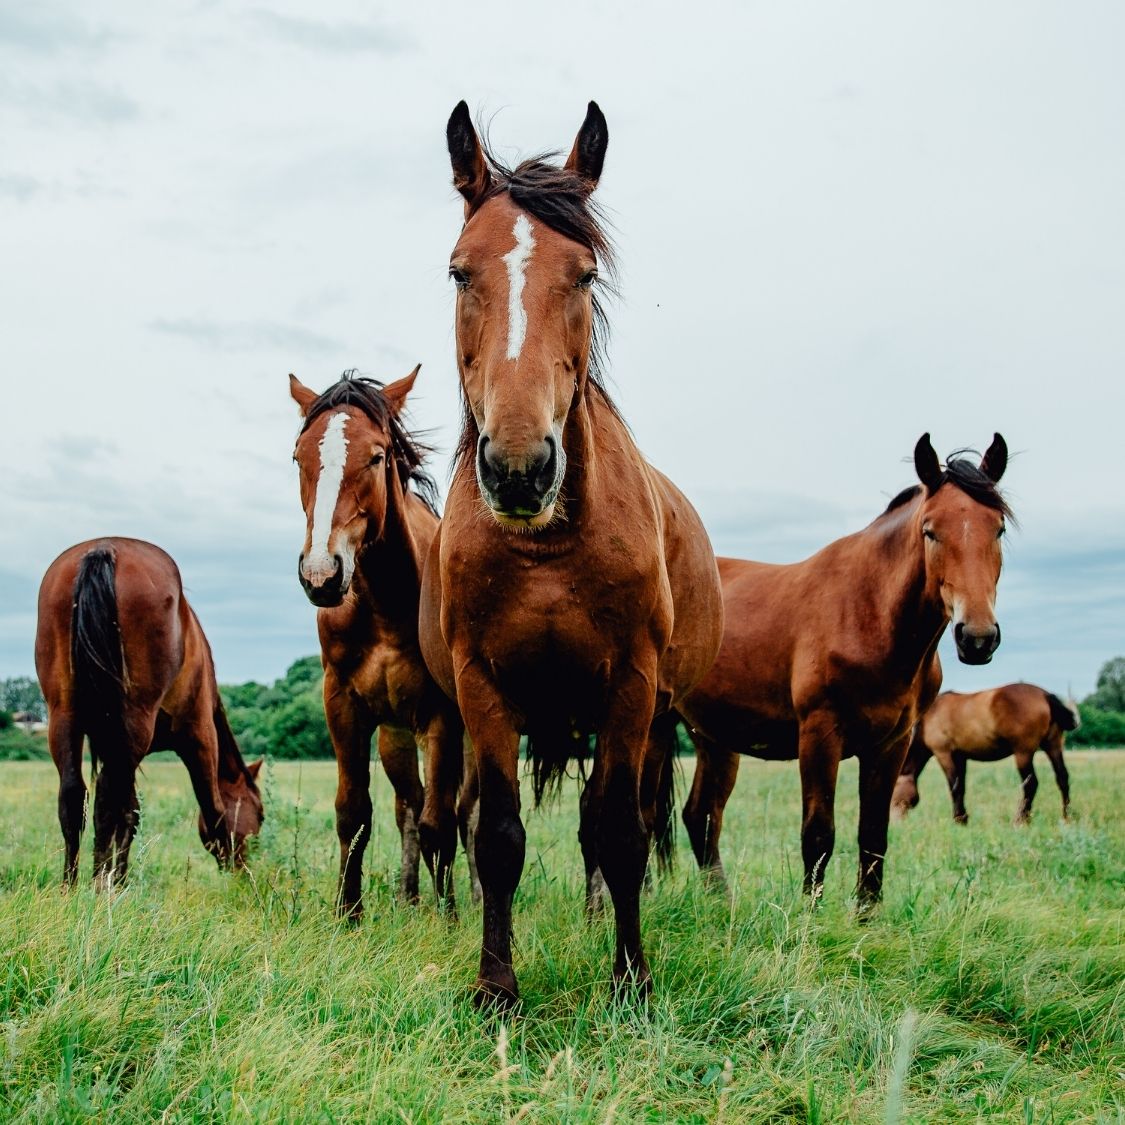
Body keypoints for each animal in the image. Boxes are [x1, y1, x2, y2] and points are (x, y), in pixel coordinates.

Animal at [34, 537, 263, 886]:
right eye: (260, 813)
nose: (244, 869)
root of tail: (104, 549)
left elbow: (130, 812)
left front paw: (120, 877)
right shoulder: (200, 735)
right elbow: (213, 809)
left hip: (64, 716)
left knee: (74, 797)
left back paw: (70, 887)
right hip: (134, 724)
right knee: (106, 799)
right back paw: (99, 885)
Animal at [290, 373, 470, 918]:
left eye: (375, 456)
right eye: (298, 458)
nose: (321, 574)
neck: (388, 605)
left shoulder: (443, 718)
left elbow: (441, 824)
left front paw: (450, 919)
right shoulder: (343, 705)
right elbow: (355, 814)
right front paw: (347, 913)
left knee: (466, 812)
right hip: (395, 736)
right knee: (406, 805)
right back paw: (409, 897)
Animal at [418, 101, 724, 1008]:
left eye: (584, 275)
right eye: (460, 273)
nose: (519, 466)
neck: (547, 547)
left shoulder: (631, 688)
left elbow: (618, 830)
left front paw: (631, 979)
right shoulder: (481, 689)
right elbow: (496, 836)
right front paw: (496, 986)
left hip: (652, 720)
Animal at [661, 434, 1017, 909]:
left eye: (997, 528)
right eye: (930, 531)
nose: (977, 637)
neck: (869, 613)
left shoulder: (892, 744)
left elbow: (873, 836)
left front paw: (867, 918)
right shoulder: (820, 734)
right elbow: (818, 835)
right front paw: (809, 918)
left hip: (714, 738)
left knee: (701, 815)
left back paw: (722, 904)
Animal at [886, 679, 1080, 823]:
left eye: (893, 793)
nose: (895, 822)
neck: (929, 718)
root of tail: (1045, 696)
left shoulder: (944, 754)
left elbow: (954, 787)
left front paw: (958, 819)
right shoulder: (960, 757)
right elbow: (961, 786)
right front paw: (963, 818)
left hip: (1023, 753)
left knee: (1030, 784)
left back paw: (1021, 820)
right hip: (1053, 745)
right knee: (1062, 778)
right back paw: (1067, 817)